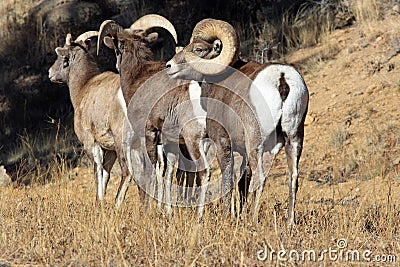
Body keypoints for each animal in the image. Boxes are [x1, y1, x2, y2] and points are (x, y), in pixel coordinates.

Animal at [47, 30, 144, 207]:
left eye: (63, 59)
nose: (50, 73)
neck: (84, 87)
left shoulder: (91, 143)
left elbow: (97, 172)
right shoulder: (109, 149)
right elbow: (106, 174)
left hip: (123, 142)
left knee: (128, 172)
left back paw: (116, 206)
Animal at [97, 14, 209, 217]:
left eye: (117, 50)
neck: (138, 77)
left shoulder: (148, 135)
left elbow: (148, 173)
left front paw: (146, 211)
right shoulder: (169, 142)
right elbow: (167, 173)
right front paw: (167, 212)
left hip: (194, 140)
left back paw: (199, 216)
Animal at [166, 17, 310, 225]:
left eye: (198, 49)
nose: (169, 66)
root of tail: (281, 78)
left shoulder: (223, 143)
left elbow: (228, 178)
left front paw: (228, 216)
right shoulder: (240, 150)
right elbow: (242, 181)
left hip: (256, 144)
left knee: (261, 177)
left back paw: (253, 219)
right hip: (294, 139)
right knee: (293, 178)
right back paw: (289, 222)